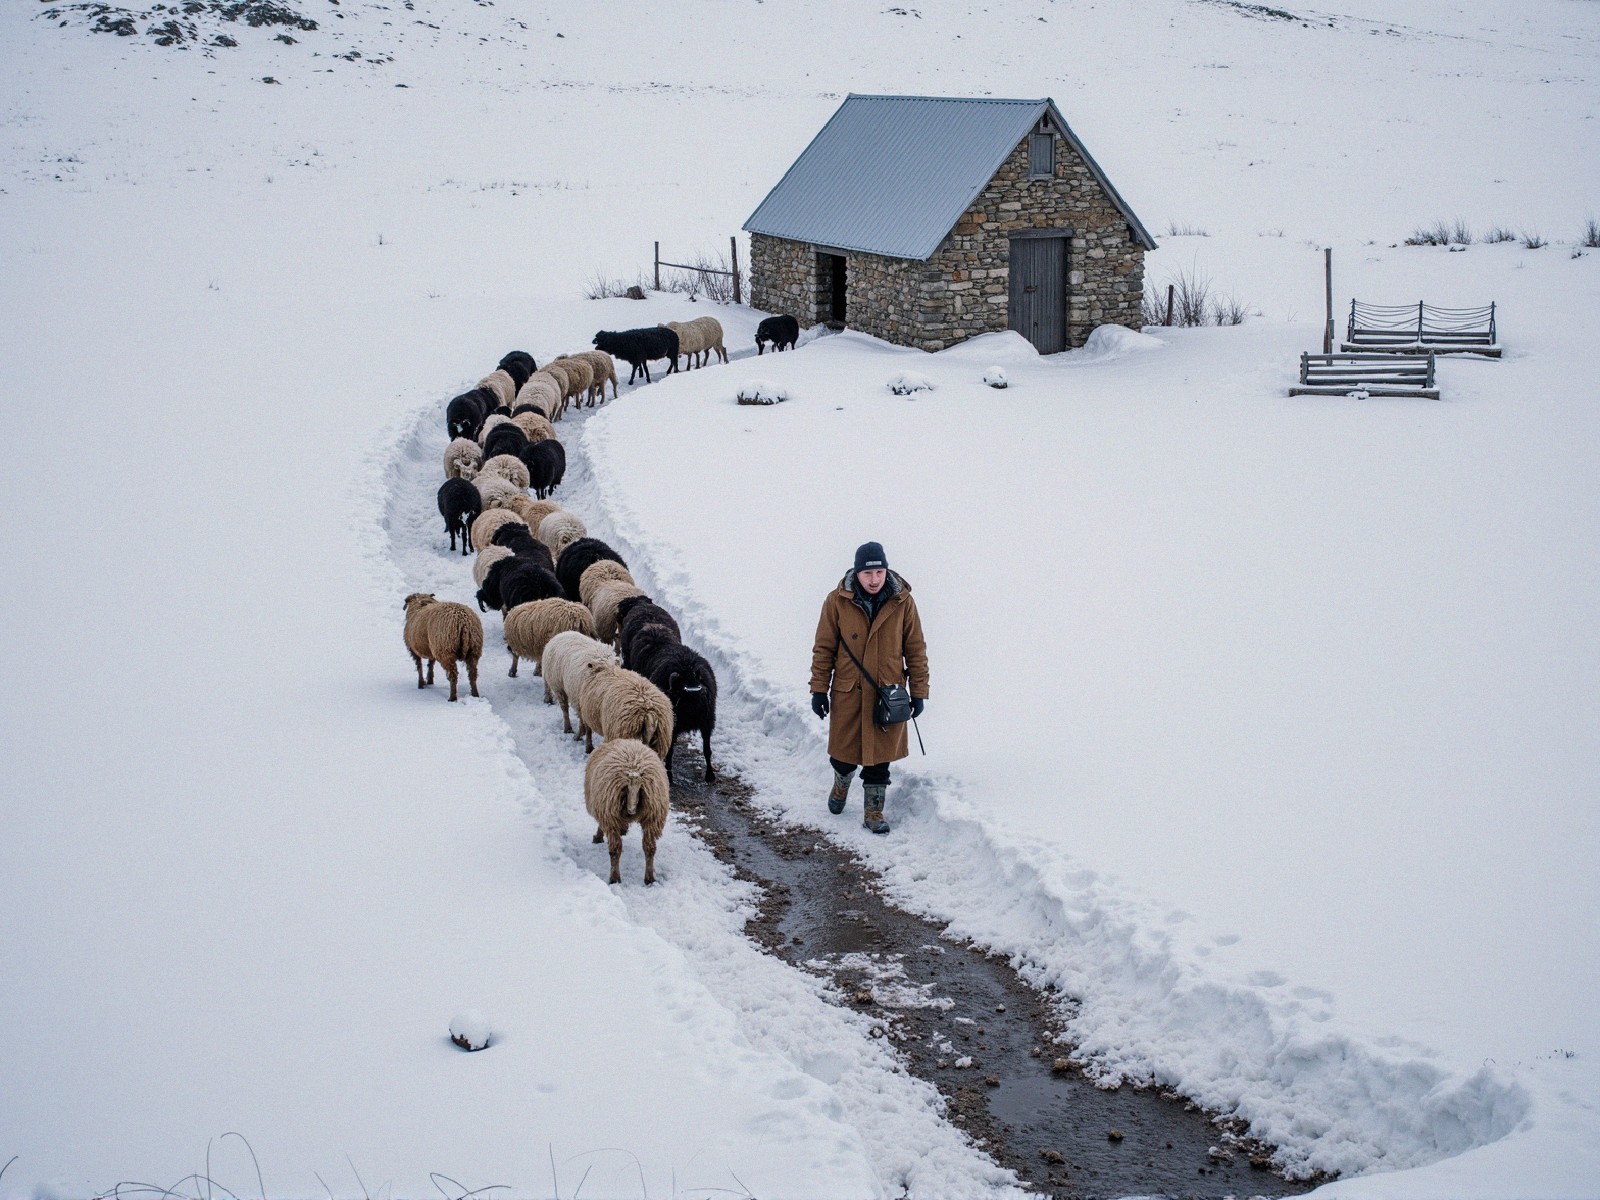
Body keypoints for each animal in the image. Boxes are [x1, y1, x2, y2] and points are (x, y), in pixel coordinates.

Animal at [584, 737, 670, 885]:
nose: (631, 809)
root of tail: (634, 777)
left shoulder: (604, 811)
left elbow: (601, 827)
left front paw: (598, 837)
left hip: (611, 813)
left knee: (615, 849)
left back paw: (614, 878)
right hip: (653, 814)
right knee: (649, 847)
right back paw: (649, 879)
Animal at [646, 643, 717, 782]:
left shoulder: (707, 723)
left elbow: (707, 750)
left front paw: (710, 775)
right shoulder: (672, 727)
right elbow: (670, 751)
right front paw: (669, 775)